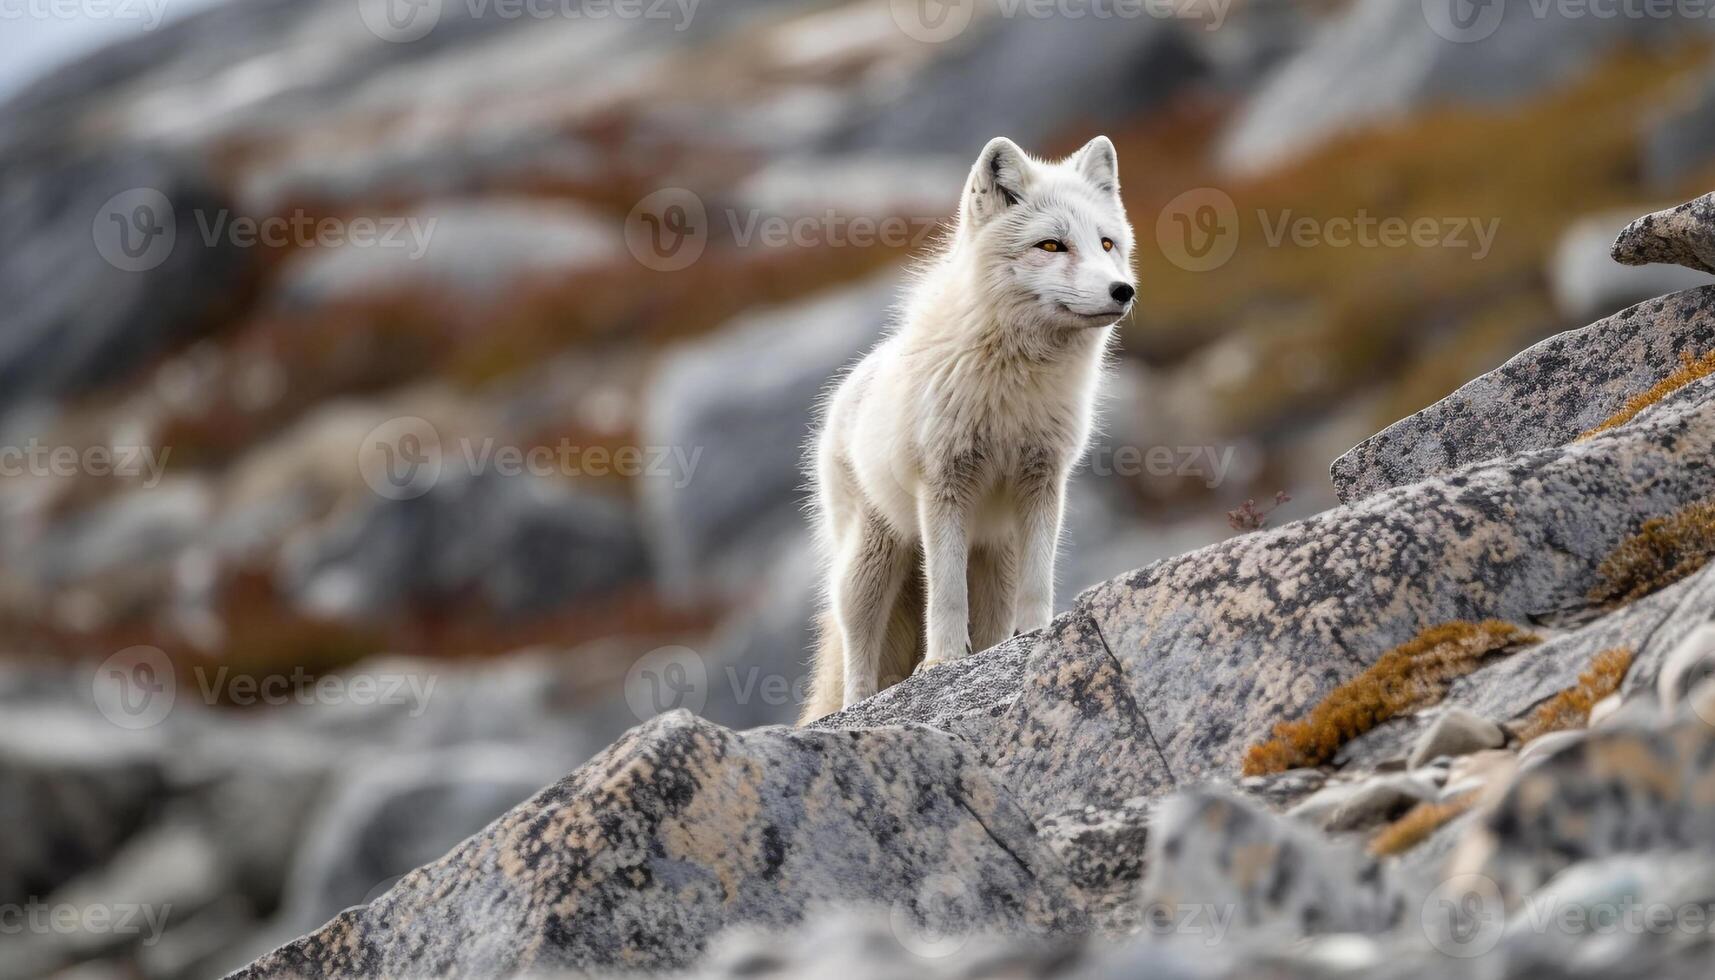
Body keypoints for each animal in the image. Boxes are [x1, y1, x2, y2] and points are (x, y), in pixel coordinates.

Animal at [802, 133, 1138, 724]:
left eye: (1106, 243)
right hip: (870, 564)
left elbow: (1039, 580)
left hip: (994, 559)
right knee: (857, 653)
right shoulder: (944, 487)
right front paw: (940, 664)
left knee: (991, 622)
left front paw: (1039, 636)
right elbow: (945, 592)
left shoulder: (1043, 482)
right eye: (1052, 246)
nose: (1123, 291)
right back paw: (860, 707)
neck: (1016, 387)